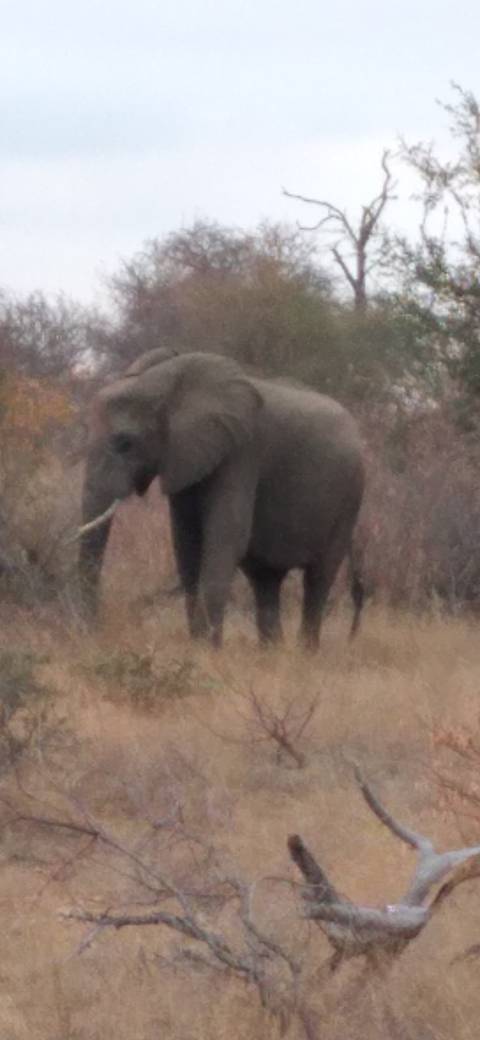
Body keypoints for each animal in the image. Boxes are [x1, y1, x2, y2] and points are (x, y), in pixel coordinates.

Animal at [78, 351, 365, 648]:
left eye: (124, 443)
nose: (92, 631)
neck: (164, 382)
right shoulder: (186, 459)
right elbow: (187, 545)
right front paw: (197, 644)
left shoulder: (242, 452)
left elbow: (225, 539)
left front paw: (207, 649)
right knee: (266, 580)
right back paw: (271, 651)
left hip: (350, 495)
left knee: (319, 578)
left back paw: (303, 652)